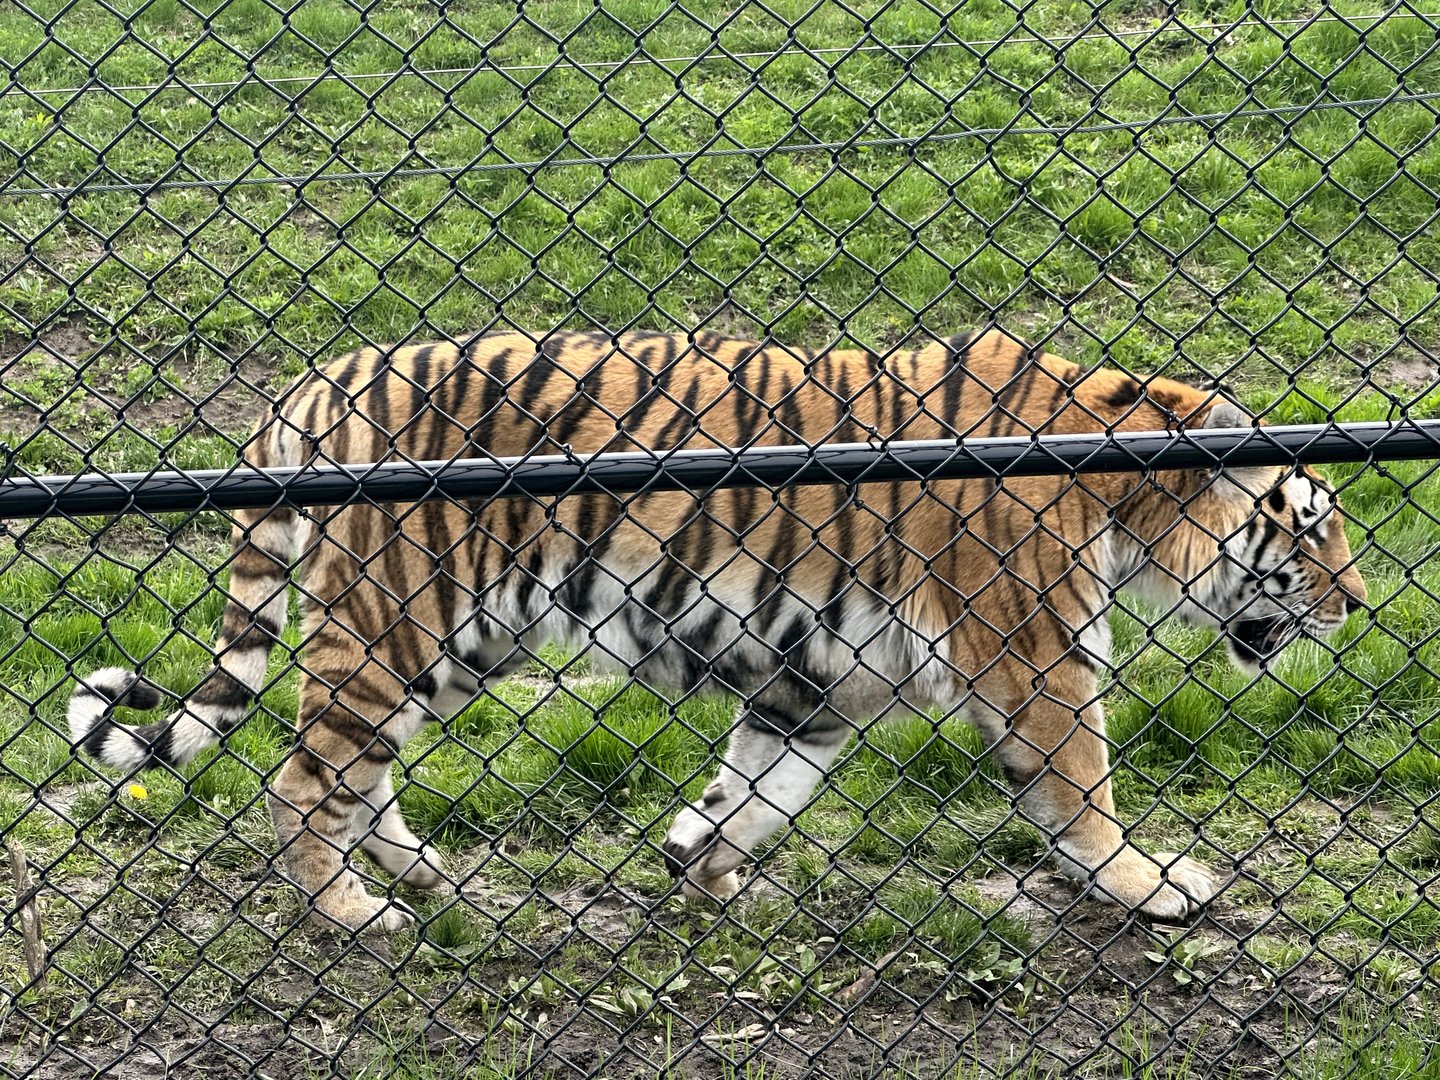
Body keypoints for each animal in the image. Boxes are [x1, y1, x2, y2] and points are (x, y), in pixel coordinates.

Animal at [67, 328, 1367, 933]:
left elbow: (761, 785)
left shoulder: (820, 679)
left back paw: (426, 877)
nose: (1357, 606)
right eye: (1309, 531)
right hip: (396, 623)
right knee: (300, 779)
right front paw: (1149, 885)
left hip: (454, 644)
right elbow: (1082, 783)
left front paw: (705, 865)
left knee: (359, 775)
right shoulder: (1033, 655)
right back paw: (353, 914)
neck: (1131, 494)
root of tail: (315, 381)